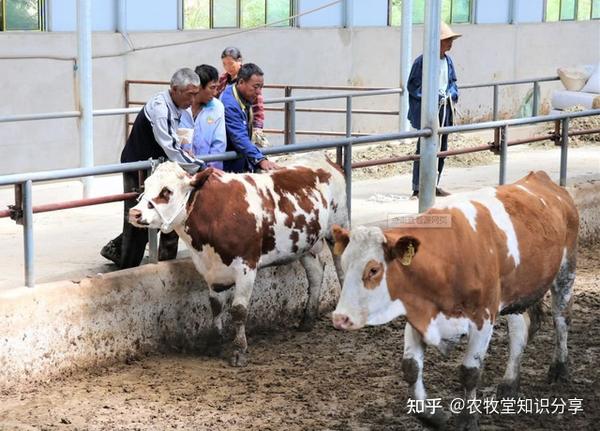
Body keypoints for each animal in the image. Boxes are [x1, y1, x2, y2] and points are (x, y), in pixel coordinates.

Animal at [129, 155, 350, 368]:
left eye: (167, 191)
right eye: (145, 185)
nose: (134, 213)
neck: (216, 214)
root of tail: (324, 160)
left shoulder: (246, 267)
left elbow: (238, 310)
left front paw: (238, 351)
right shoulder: (211, 270)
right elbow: (216, 306)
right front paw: (215, 343)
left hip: (338, 229)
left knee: (341, 268)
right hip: (304, 244)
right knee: (316, 273)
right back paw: (307, 320)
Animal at [330, 170, 580, 430]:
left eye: (373, 269)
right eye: (344, 264)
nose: (340, 318)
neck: (447, 260)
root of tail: (544, 180)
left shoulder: (483, 317)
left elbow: (470, 371)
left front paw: (467, 419)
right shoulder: (419, 314)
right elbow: (411, 367)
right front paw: (432, 416)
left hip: (565, 272)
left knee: (561, 319)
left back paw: (559, 368)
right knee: (520, 332)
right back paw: (509, 383)